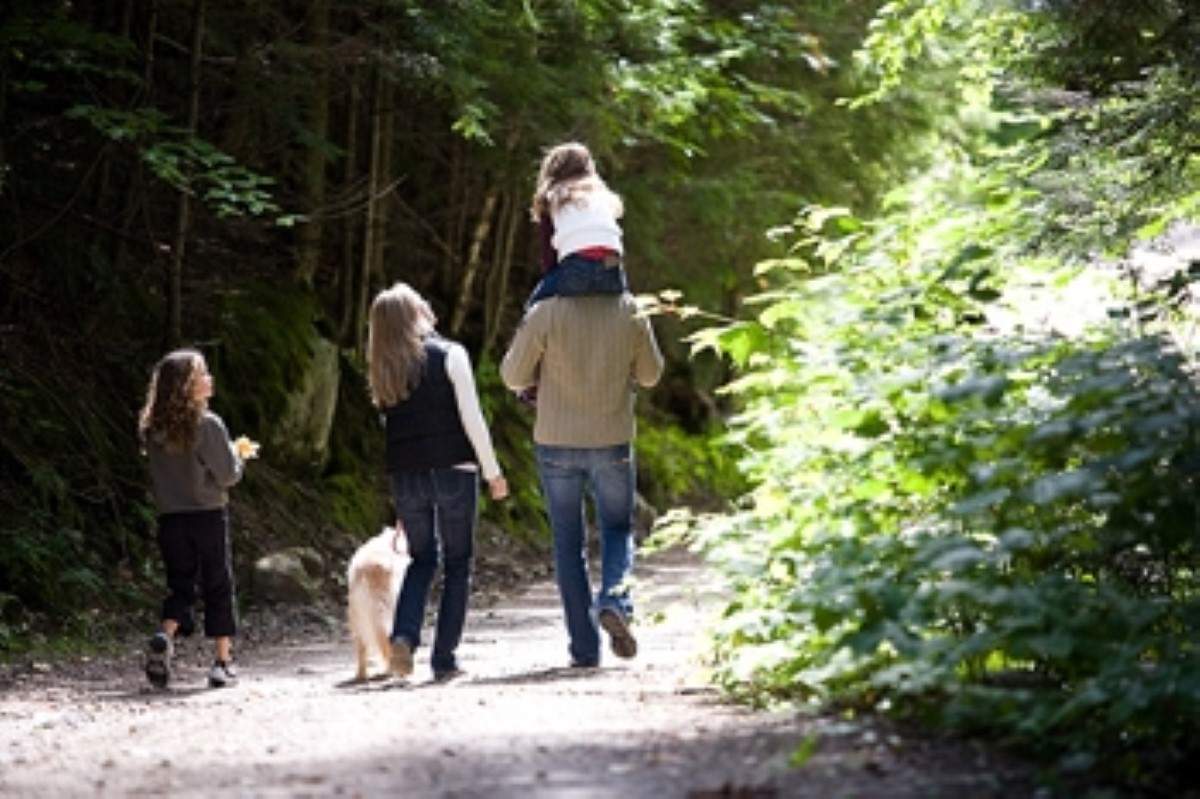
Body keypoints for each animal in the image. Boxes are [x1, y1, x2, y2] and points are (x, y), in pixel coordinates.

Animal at [345, 523, 410, 676]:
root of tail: (367, 569)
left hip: (355, 616)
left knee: (362, 645)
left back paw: (361, 675)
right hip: (386, 609)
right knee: (386, 638)